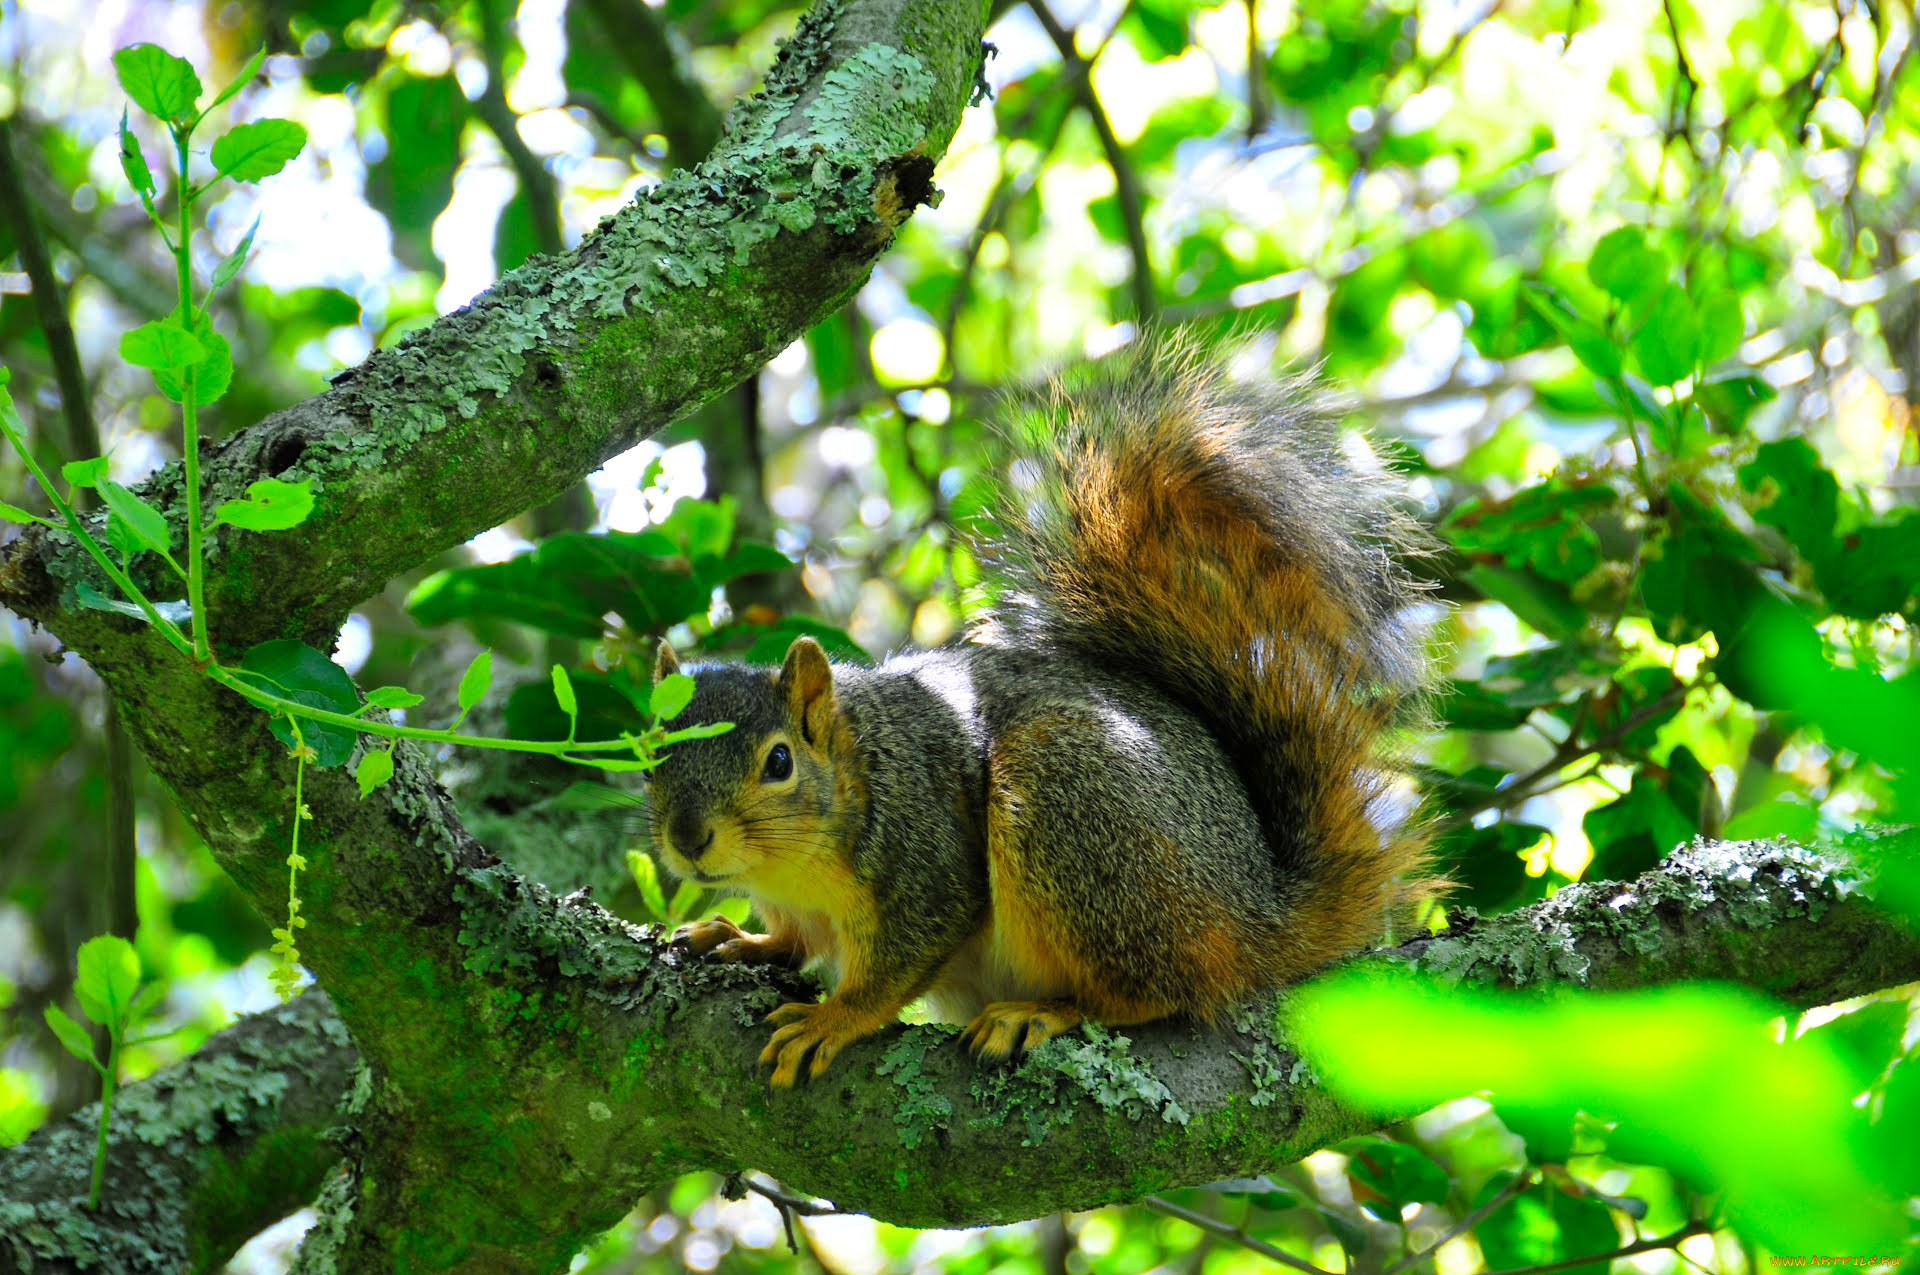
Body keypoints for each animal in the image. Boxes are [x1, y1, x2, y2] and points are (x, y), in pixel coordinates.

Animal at [645, 333, 1438, 1088]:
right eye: (649, 755)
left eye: (779, 761)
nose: (688, 838)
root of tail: (1261, 914)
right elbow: (793, 942)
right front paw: (739, 939)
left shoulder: (925, 854)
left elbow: (904, 956)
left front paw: (833, 1019)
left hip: (1071, 797)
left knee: (1161, 990)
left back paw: (1043, 1012)